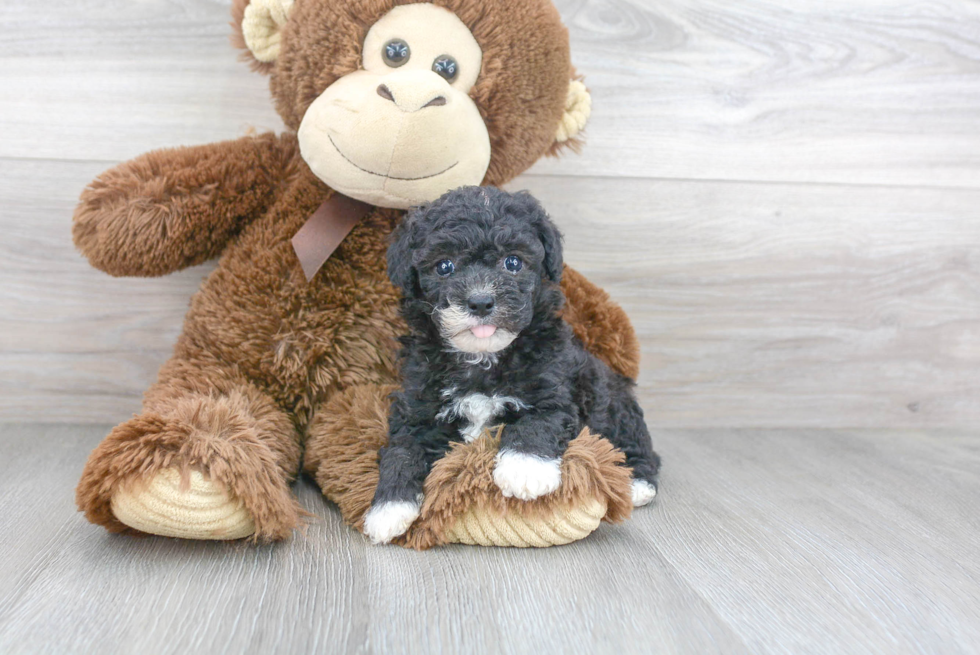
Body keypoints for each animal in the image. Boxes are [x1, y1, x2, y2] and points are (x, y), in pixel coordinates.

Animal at [364, 184, 664, 544]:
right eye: (444, 266)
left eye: (513, 262)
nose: (480, 301)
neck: (482, 359)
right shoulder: (417, 408)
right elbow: (402, 449)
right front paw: (387, 508)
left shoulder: (554, 391)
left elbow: (537, 421)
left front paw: (524, 469)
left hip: (614, 404)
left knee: (640, 448)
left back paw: (636, 484)